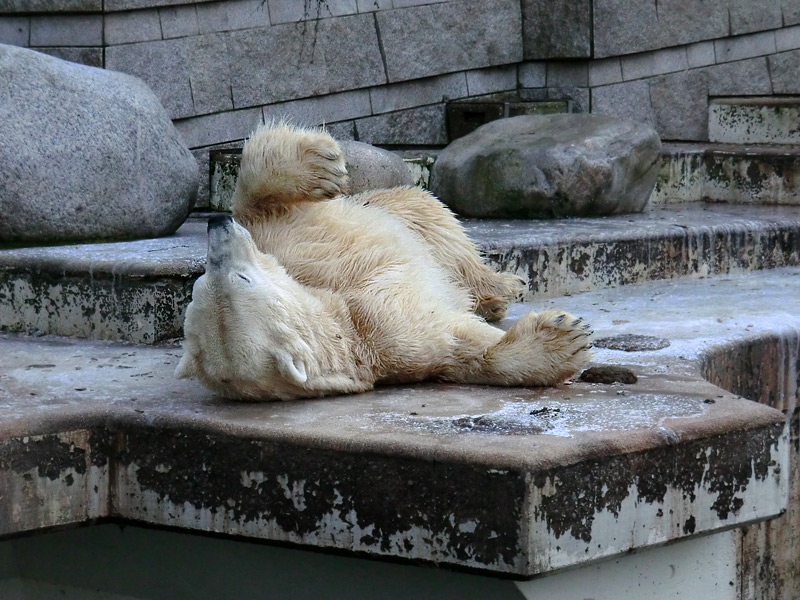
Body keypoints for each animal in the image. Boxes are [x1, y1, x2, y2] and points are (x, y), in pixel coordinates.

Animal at [175, 121, 592, 398]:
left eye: (199, 283)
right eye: (239, 279)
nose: (216, 225)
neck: (341, 318)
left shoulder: (283, 243)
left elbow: (258, 198)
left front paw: (323, 163)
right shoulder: (390, 339)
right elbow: (459, 346)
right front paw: (563, 337)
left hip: (386, 206)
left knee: (428, 220)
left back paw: (501, 287)